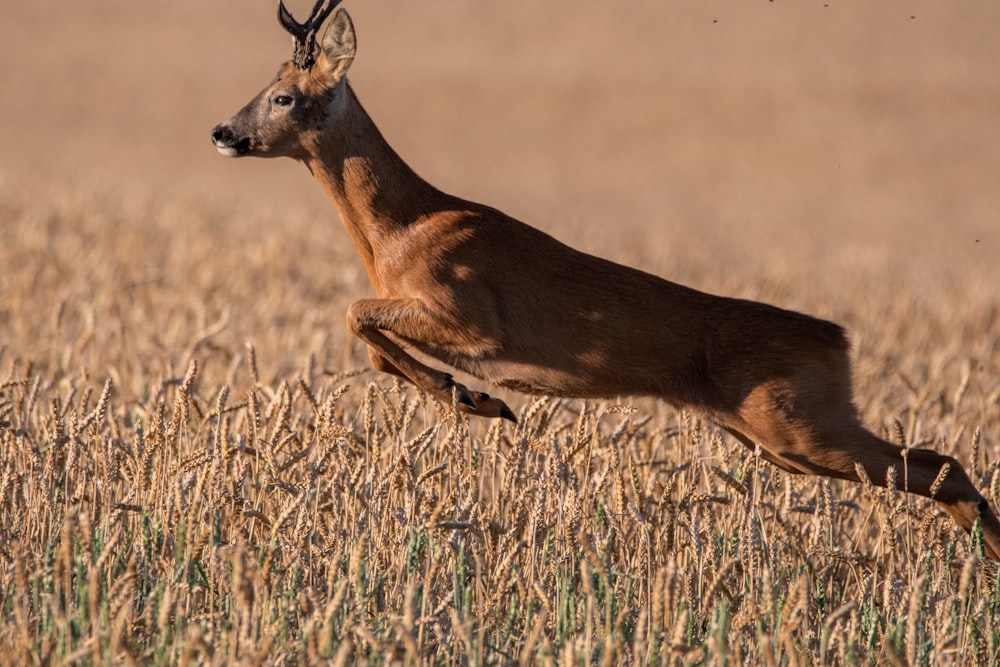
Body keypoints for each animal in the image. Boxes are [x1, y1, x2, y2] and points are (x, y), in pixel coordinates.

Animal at [211, 0, 1000, 560]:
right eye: (265, 87)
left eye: (284, 96)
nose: (223, 131)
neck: (399, 229)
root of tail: (837, 337)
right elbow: (370, 341)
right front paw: (474, 400)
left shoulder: (472, 314)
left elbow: (355, 312)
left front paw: (476, 399)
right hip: (777, 439)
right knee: (937, 471)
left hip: (799, 422)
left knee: (943, 462)